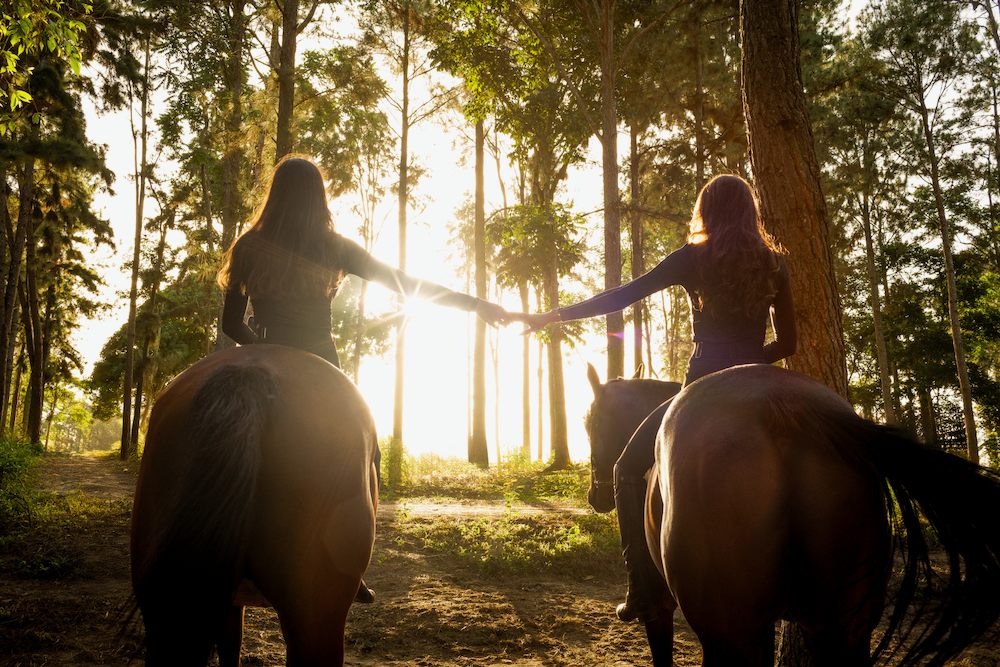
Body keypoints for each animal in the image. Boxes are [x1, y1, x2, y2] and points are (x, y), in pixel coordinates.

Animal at [587, 362, 1000, 666]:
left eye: (589, 424)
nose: (595, 496)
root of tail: (780, 405)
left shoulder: (660, 607)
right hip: (842, 628)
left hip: (730, 635)